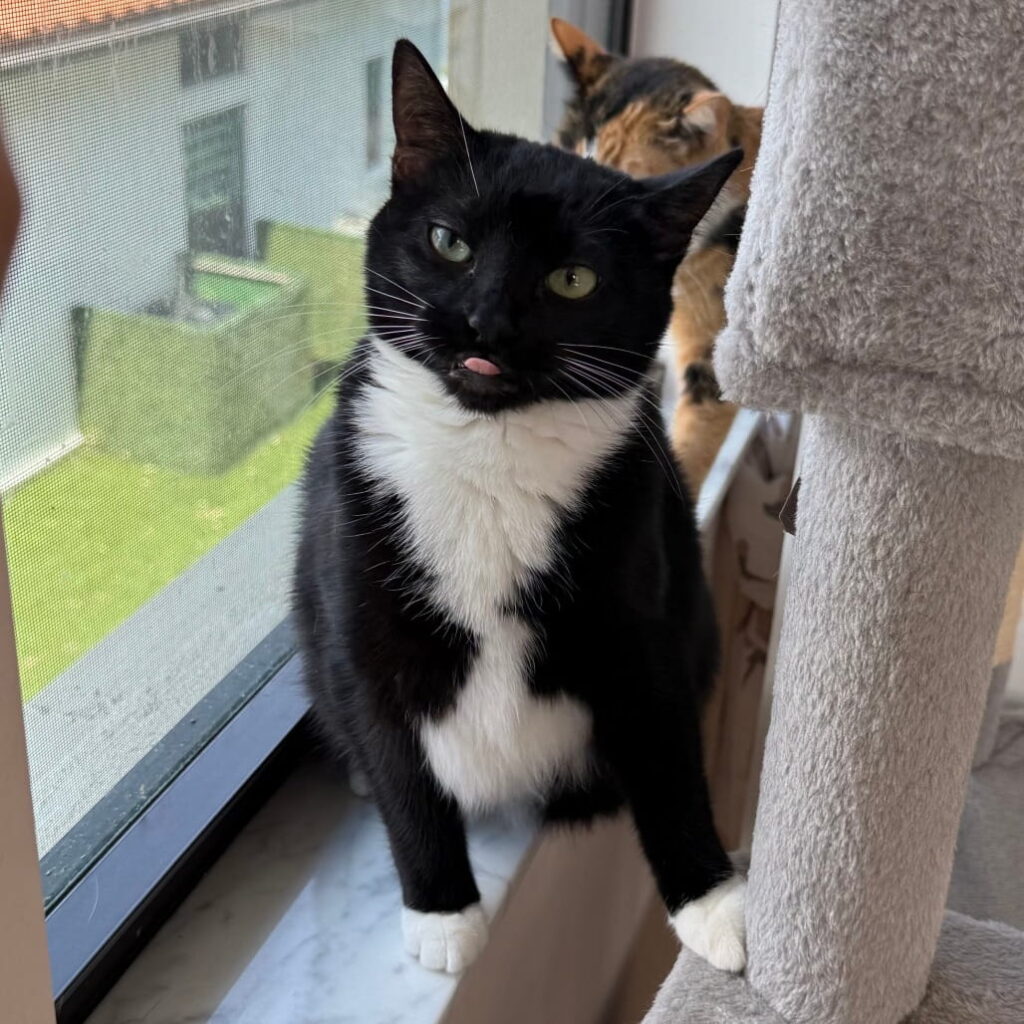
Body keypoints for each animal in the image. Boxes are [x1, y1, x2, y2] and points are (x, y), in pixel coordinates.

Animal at [294, 39, 747, 977]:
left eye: (573, 279)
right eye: (448, 241)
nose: (485, 323)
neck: (487, 450)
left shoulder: (641, 607)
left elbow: (667, 751)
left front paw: (713, 901)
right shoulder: (356, 601)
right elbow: (399, 764)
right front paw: (442, 915)